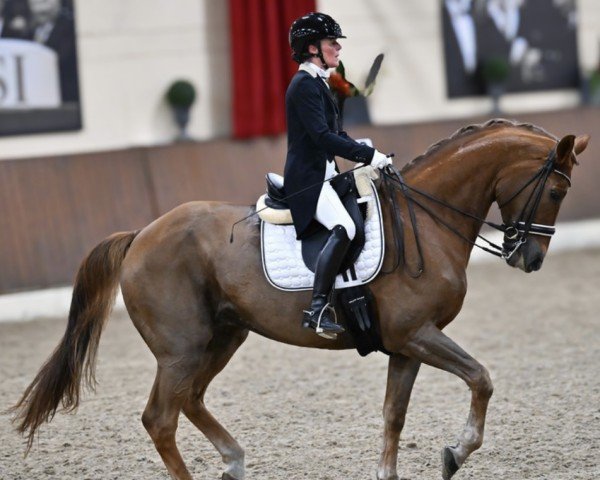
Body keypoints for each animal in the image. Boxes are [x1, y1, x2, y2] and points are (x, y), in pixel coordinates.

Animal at [14, 118, 592, 478]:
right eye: (557, 191)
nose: (529, 258)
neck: (426, 220)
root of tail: (140, 235)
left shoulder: (407, 344)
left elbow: (394, 414)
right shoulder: (418, 335)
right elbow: (481, 378)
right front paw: (457, 452)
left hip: (223, 337)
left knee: (190, 400)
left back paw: (234, 460)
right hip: (181, 349)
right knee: (161, 417)